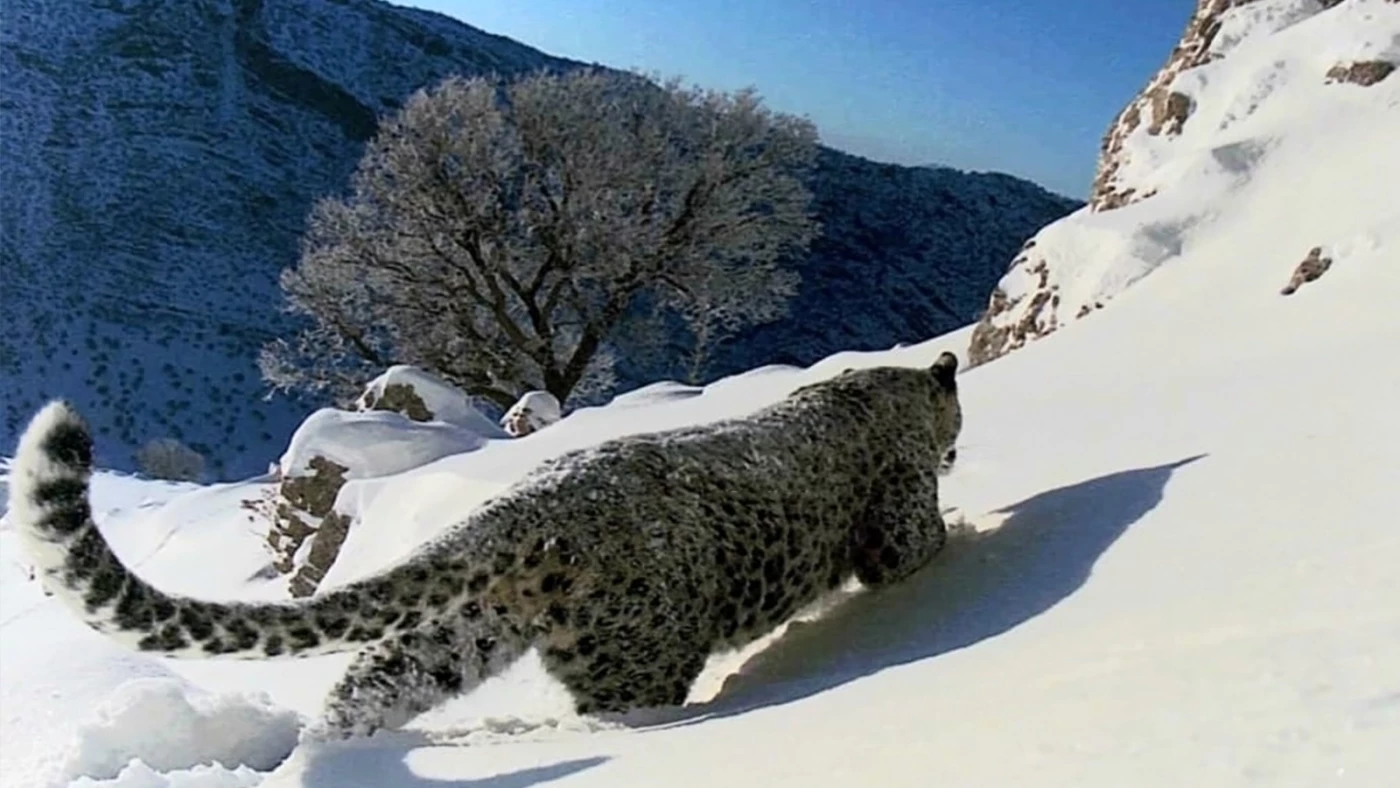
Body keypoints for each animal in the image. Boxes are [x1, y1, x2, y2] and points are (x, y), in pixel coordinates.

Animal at [8, 351, 963, 739]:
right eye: (955, 422)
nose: (956, 449)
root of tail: (528, 506)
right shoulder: (897, 520)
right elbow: (919, 545)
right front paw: (972, 531)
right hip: (640, 657)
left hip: (451, 634)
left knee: (365, 687)